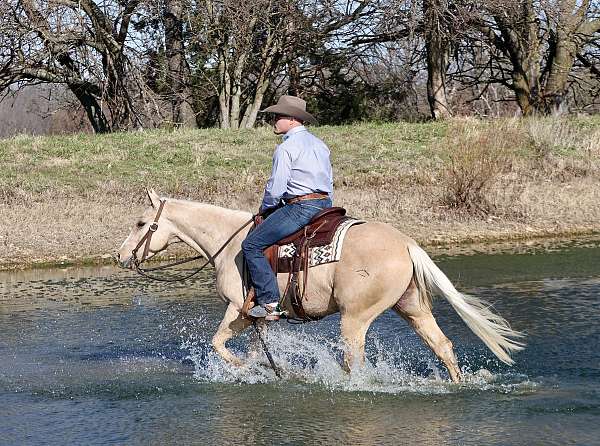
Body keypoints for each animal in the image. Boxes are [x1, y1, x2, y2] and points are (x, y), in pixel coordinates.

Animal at [115, 190, 524, 382]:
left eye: (140, 223)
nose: (120, 256)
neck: (230, 245)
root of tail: (406, 243)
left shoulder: (239, 310)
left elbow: (218, 344)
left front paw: (244, 370)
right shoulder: (259, 319)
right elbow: (254, 351)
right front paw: (264, 371)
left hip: (355, 318)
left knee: (354, 360)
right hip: (412, 308)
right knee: (443, 346)